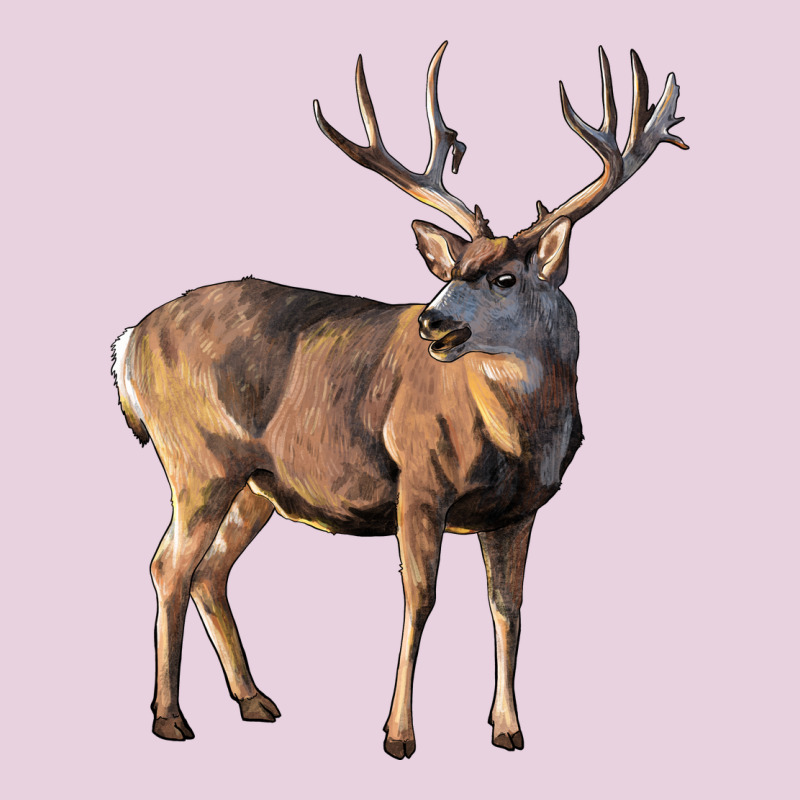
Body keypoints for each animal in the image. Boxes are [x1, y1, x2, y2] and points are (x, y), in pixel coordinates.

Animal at [111, 42, 687, 759]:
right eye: (450, 271)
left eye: (504, 277)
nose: (432, 323)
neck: (518, 437)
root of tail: (129, 341)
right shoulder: (419, 481)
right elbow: (420, 597)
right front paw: (398, 733)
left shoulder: (520, 509)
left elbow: (508, 607)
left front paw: (508, 728)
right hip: (198, 459)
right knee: (168, 565)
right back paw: (170, 717)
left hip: (256, 481)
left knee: (209, 571)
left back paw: (255, 701)